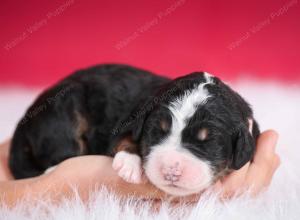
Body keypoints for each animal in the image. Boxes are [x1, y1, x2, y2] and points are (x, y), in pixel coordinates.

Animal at [8, 63, 258, 196]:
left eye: (208, 142)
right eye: (156, 132)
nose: (171, 170)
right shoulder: (124, 123)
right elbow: (125, 138)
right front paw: (129, 164)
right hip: (63, 114)